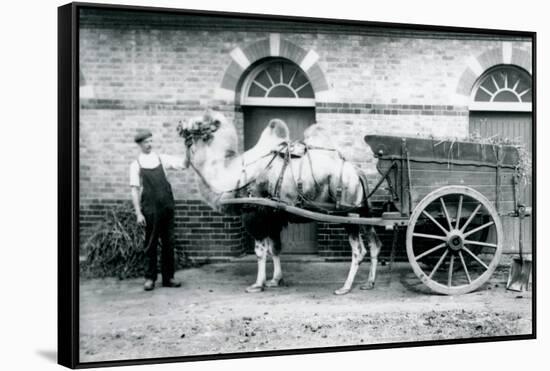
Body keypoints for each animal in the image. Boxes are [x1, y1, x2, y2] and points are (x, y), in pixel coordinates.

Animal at [178, 111, 384, 296]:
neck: (232, 174)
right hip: (362, 211)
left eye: (199, 123)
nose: (179, 125)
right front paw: (275, 280)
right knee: (375, 243)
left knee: (359, 250)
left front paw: (257, 284)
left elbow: (260, 251)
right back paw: (369, 283)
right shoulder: (273, 215)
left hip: (347, 212)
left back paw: (345, 287)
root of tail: (357, 172)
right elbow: (275, 248)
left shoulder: (254, 212)